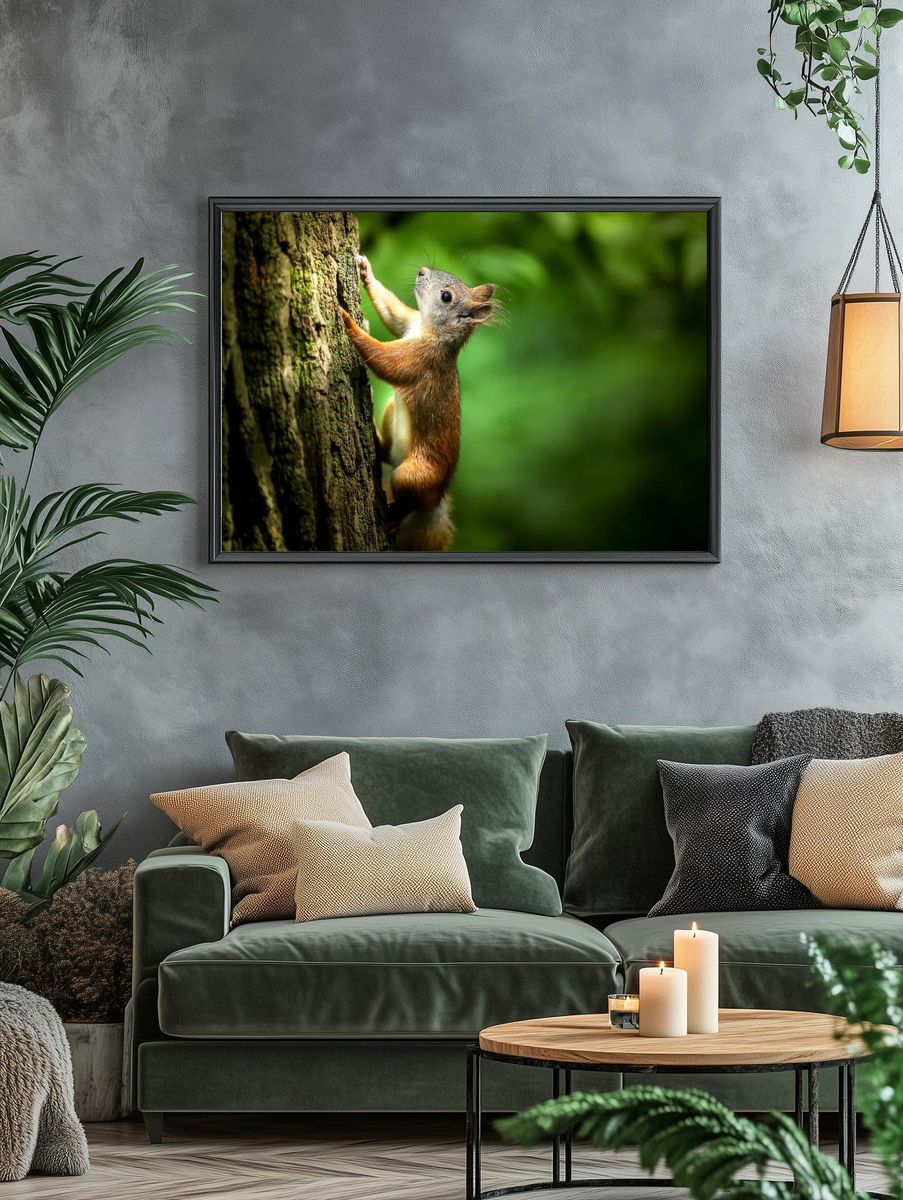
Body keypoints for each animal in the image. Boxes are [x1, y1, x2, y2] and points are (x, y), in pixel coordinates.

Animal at [340, 255, 495, 552]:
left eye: (446, 296)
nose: (422, 271)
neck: (428, 329)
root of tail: (437, 499)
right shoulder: (408, 323)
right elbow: (394, 314)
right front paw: (366, 271)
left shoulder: (421, 359)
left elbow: (384, 361)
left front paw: (347, 323)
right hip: (391, 412)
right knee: (387, 453)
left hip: (414, 475)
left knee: (410, 501)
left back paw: (396, 518)